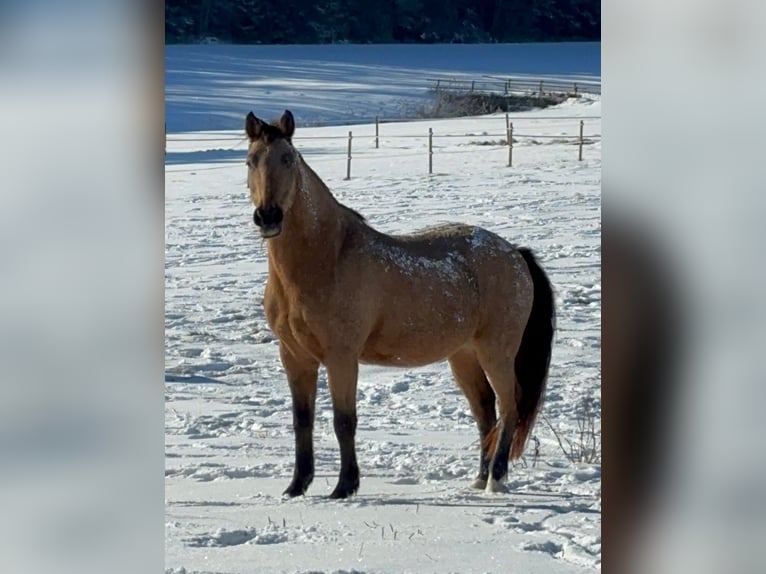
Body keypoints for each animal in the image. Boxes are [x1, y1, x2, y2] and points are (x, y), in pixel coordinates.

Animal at [245, 109, 555, 499]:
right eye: (250, 160)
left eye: (288, 159)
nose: (268, 217)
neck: (328, 257)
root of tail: (515, 254)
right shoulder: (294, 356)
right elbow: (302, 420)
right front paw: (296, 487)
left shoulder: (341, 356)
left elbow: (344, 420)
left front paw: (345, 486)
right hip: (464, 355)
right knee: (485, 411)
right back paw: (480, 477)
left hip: (497, 351)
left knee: (510, 406)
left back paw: (495, 479)